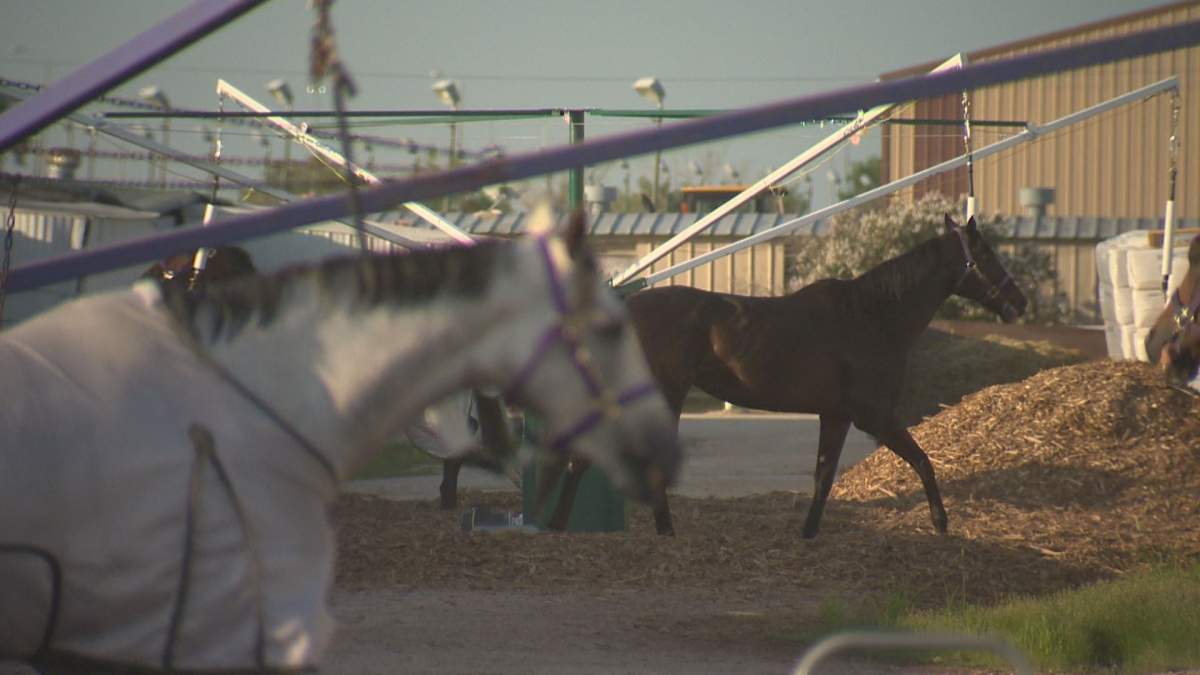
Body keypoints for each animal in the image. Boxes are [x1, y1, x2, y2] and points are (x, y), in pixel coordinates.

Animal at [541, 214, 1026, 538]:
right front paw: (941, 524)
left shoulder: (836, 416)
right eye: (986, 253)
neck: (871, 317)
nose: (1019, 301)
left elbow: (824, 477)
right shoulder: (874, 416)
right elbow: (923, 460)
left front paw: (808, 534)